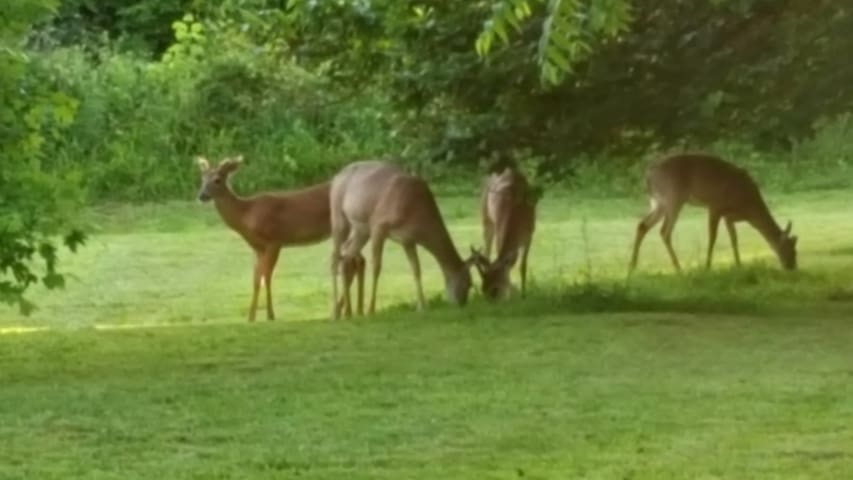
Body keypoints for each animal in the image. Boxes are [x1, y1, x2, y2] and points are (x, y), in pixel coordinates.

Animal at [195, 155, 364, 322]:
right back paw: (353, 310)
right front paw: (251, 317)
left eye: (217, 180)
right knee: (357, 262)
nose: (202, 196)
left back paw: (344, 311)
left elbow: (266, 277)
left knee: (351, 264)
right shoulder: (257, 248)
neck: (247, 215)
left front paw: (270, 315)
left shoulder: (274, 241)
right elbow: (256, 280)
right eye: (202, 178)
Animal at [328, 159, 476, 320]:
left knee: (347, 256)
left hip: (362, 229)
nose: (462, 304)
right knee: (335, 257)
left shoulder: (408, 240)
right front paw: (371, 309)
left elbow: (416, 269)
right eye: (469, 283)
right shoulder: (378, 224)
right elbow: (377, 267)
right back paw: (337, 312)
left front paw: (422, 306)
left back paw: (346, 311)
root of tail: (336, 176)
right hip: (339, 215)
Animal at [470, 165, 536, 300]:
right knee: (487, 249)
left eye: (495, 289)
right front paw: (512, 294)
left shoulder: (530, 233)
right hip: (486, 217)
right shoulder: (499, 229)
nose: (489, 302)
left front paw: (523, 294)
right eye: (483, 289)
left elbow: (523, 266)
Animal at [624, 152, 800, 272]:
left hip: (657, 202)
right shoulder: (715, 206)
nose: (792, 267)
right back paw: (678, 268)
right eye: (791, 250)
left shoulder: (729, 216)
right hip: (673, 198)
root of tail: (648, 175)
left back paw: (633, 265)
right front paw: (707, 266)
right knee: (664, 231)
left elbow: (734, 239)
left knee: (642, 225)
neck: (748, 205)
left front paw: (739, 264)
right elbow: (712, 238)